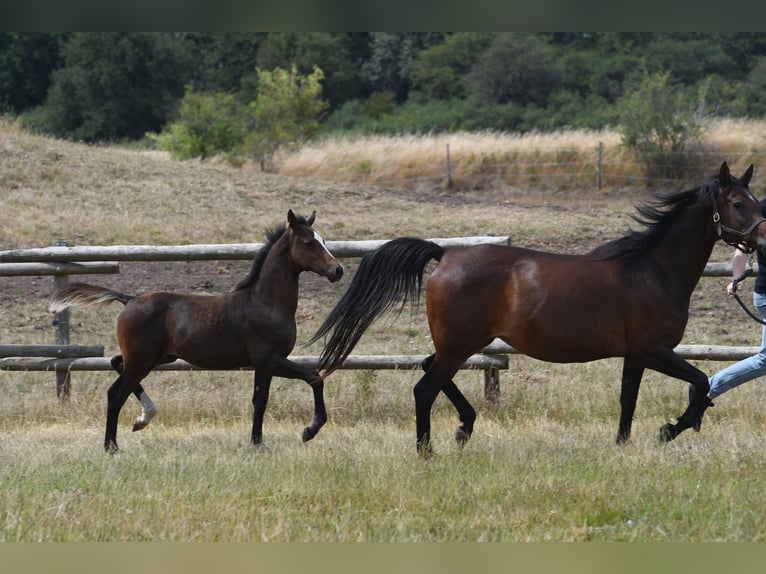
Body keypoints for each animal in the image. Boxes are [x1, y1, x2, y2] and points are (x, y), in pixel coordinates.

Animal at [49, 209, 344, 452]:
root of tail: (129, 299)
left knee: (115, 362)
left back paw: (143, 418)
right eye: (308, 243)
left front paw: (258, 442)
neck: (263, 302)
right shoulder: (269, 360)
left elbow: (261, 399)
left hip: (154, 358)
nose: (337, 270)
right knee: (115, 394)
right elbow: (310, 379)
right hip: (142, 360)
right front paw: (306, 431)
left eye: (324, 241)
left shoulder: (266, 364)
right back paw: (112, 446)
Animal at [310, 164, 766, 456]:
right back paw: (428, 452)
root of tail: (445, 254)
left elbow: (628, 400)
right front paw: (670, 429)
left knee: (427, 369)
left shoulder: (635, 355)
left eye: (755, 199)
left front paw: (624, 444)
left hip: (457, 344)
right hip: (459, 345)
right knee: (424, 388)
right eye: (738, 203)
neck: (654, 269)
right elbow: (701, 380)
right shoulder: (654, 350)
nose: (763, 238)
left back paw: (464, 427)